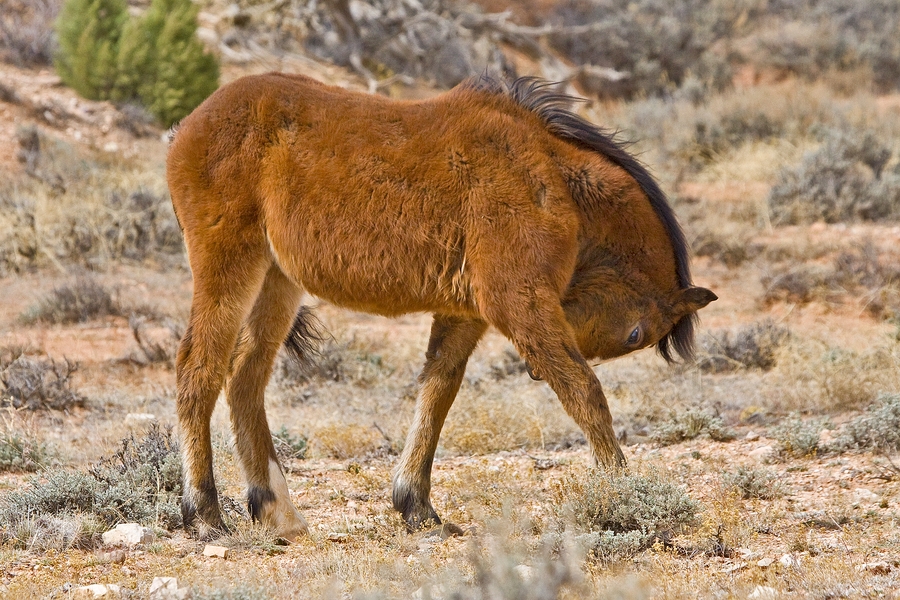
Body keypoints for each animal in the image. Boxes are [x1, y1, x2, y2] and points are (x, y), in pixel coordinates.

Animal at [167, 71, 716, 540]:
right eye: (635, 335)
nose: (535, 371)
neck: (548, 176)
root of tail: (185, 129)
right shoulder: (520, 304)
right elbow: (584, 392)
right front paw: (621, 492)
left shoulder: (465, 314)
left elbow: (438, 394)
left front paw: (416, 506)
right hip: (231, 268)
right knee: (199, 369)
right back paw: (205, 514)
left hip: (276, 281)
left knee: (245, 377)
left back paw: (276, 511)